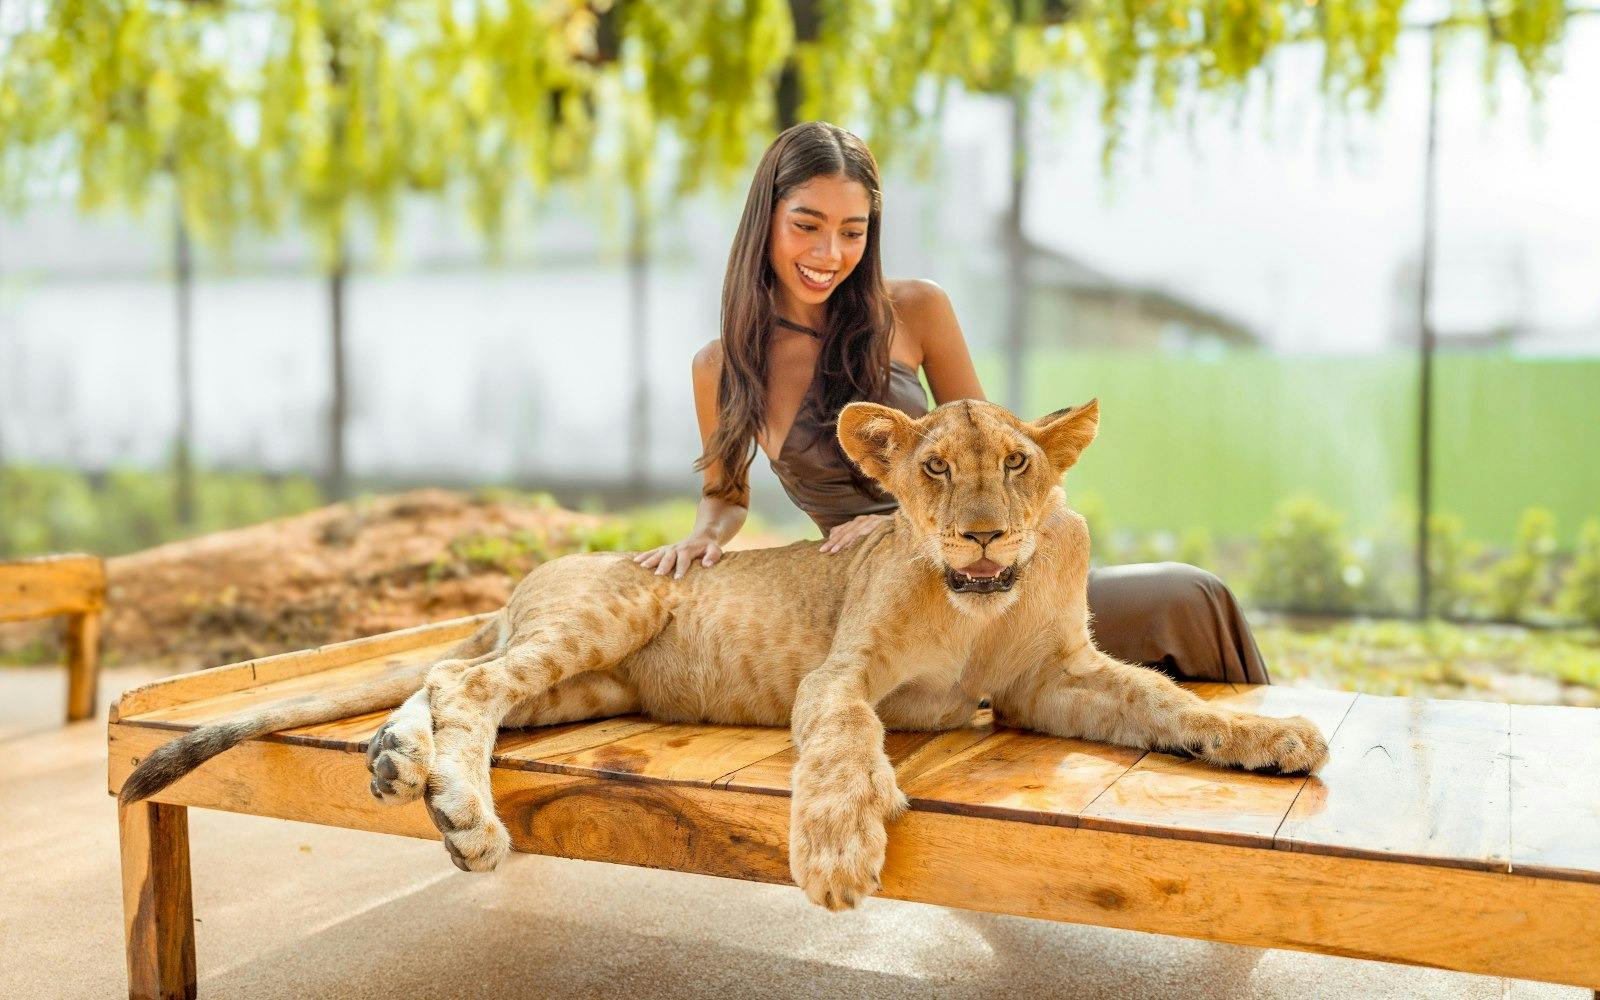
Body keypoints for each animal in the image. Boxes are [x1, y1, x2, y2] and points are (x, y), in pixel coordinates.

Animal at [121, 397, 1328, 910]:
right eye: (935, 468)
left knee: (447, 683)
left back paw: (397, 763)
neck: (981, 603)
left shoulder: (1053, 684)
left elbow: (1170, 705)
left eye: (1019, 465)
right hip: (614, 613)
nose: (982, 534)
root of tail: (520, 585)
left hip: (584, 685)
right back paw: (461, 815)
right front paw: (839, 851)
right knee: (462, 676)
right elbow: (842, 738)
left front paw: (1269, 737)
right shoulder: (841, 674)